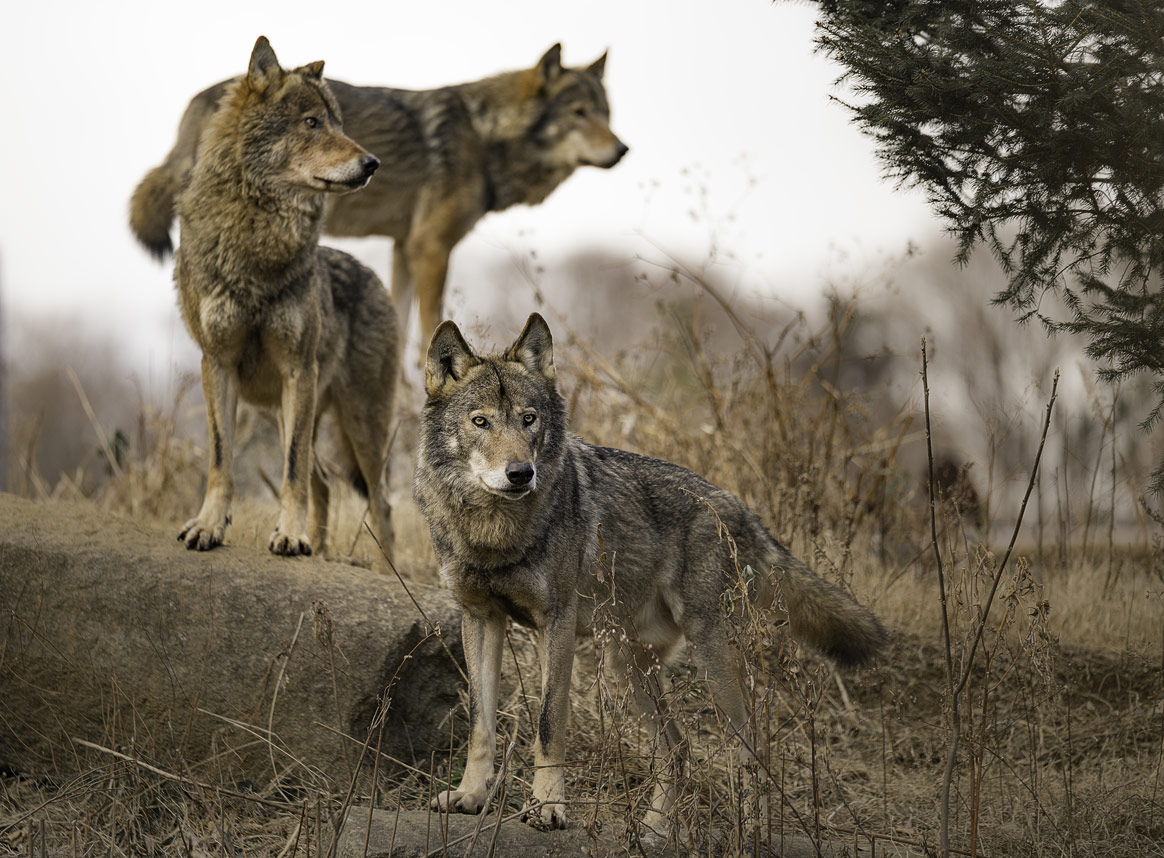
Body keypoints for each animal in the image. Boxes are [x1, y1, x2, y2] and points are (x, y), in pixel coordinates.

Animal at [129, 41, 628, 356]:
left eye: (606, 114)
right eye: (578, 114)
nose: (622, 150)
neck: (485, 136)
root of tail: (198, 103)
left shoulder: (404, 248)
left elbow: (401, 323)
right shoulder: (431, 248)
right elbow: (428, 329)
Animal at [174, 36, 398, 563]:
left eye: (339, 123)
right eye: (311, 122)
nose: (373, 163)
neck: (258, 240)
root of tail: (375, 278)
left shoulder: (298, 369)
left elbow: (291, 470)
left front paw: (290, 535)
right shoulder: (217, 363)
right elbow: (221, 459)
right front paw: (209, 526)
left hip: (359, 424)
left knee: (379, 502)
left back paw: (381, 569)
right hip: (285, 411)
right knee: (325, 484)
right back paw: (320, 550)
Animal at [414, 312, 884, 828]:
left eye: (528, 419)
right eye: (480, 422)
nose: (521, 473)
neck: (493, 533)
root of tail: (741, 509)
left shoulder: (555, 623)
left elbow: (549, 723)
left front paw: (549, 806)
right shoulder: (481, 618)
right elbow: (481, 726)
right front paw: (468, 797)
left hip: (709, 655)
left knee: (749, 746)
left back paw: (750, 829)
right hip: (628, 665)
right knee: (678, 751)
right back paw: (656, 832)